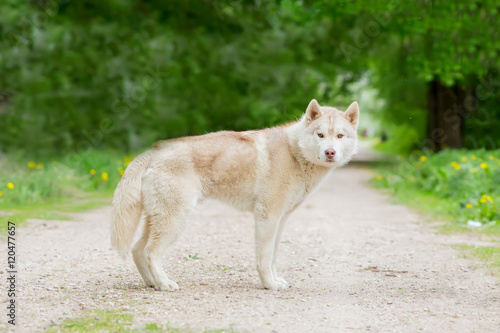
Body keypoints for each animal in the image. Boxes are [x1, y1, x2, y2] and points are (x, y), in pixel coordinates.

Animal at [111, 97, 358, 290]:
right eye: (320, 135)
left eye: (340, 136)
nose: (330, 152)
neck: (294, 152)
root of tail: (153, 152)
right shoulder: (267, 217)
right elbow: (264, 258)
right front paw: (269, 284)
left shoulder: (281, 220)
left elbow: (273, 257)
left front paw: (275, 280)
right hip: (175, 220)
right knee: (151, 252)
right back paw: (164, 283)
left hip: (158, 220)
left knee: (138, 250)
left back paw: (152, 283)